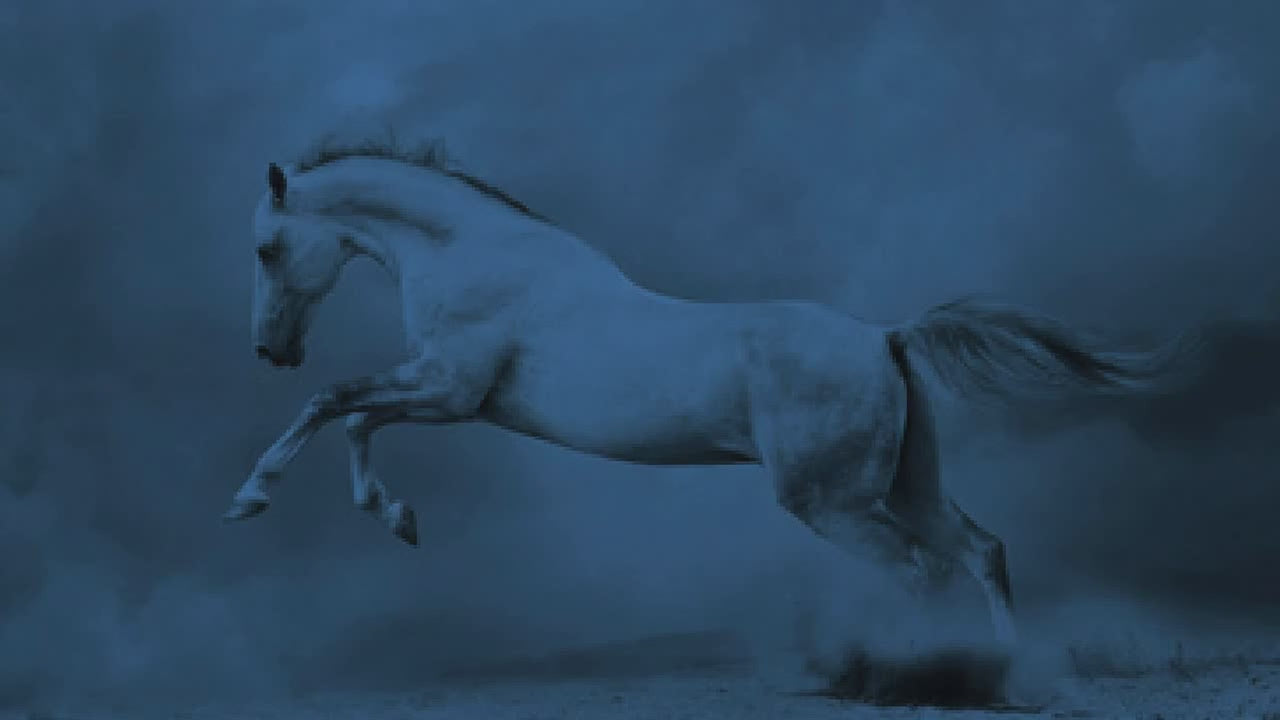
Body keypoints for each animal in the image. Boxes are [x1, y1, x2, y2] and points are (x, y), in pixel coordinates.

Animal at [225, 136, 1191, 648]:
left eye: (266, 248)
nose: (271, 350)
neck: (476, 255)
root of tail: (886, 336)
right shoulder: (444, 394)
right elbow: (354, 422)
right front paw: (398, 518)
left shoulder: (450, 390)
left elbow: (334, 405)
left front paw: (252, 498)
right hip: (910, 484)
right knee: (981, 552)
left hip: (832, 502)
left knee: (921, 571)